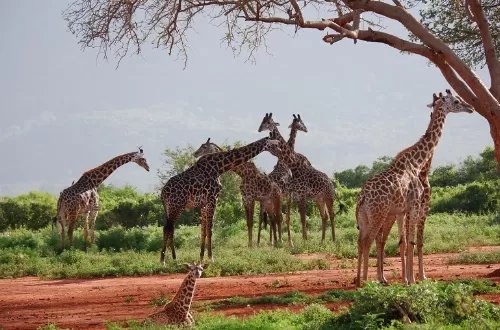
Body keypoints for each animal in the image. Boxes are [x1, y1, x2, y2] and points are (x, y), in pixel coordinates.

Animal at [162, 135, 284, 264]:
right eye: (274, 144)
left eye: (204, 146)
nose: (195, 153)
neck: (219, 167)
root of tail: (162, 193)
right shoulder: (213, 199)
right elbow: (210, 229)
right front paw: (211, 257)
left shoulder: (206, 203)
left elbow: (203, 230)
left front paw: (202, 257)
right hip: (176, 206)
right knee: (168, 228)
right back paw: (164, 260)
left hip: (171, 208)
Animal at [354, 89, 474, 286]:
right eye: (456, 101)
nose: (471, 107)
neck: (418, 163)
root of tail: (362, 198)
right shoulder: (415, 205)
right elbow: (411, 242)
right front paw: (412, 280)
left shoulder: (403, 210)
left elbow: (405, 242)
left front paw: (409, 279)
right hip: (379, 214)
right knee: (369, 241)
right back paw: (366, 282)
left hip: (364, 218)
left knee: (361, 241)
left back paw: (359, 280)